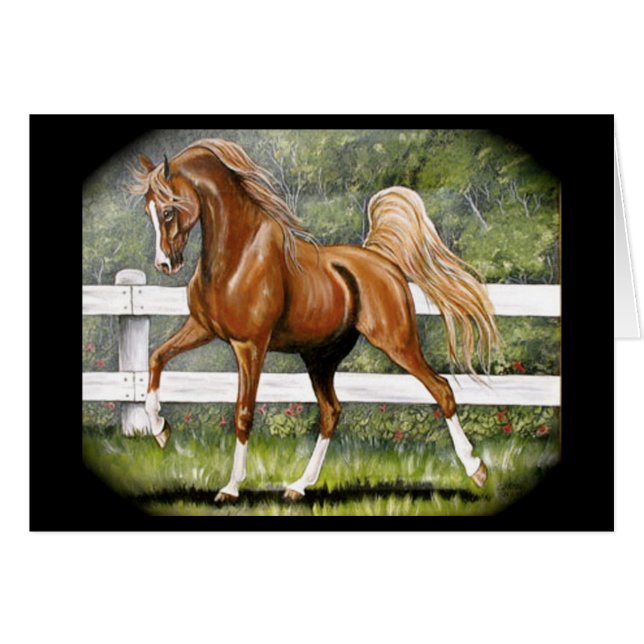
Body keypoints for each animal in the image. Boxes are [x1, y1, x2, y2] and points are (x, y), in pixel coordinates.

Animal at [129, 138, 499, 502]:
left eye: (168, 209)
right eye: (148, 210)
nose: (165, 264)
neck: (236, 256)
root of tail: (379, 259)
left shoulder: (250, 345)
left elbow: (243, 413)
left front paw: (230, 488)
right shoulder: (202, 328)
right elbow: (156, 358)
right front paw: (160, 430)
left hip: (397, 342)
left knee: (442, 389)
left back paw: (476, 470)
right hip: (320, 358)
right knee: (331, 412)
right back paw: (297, 486)